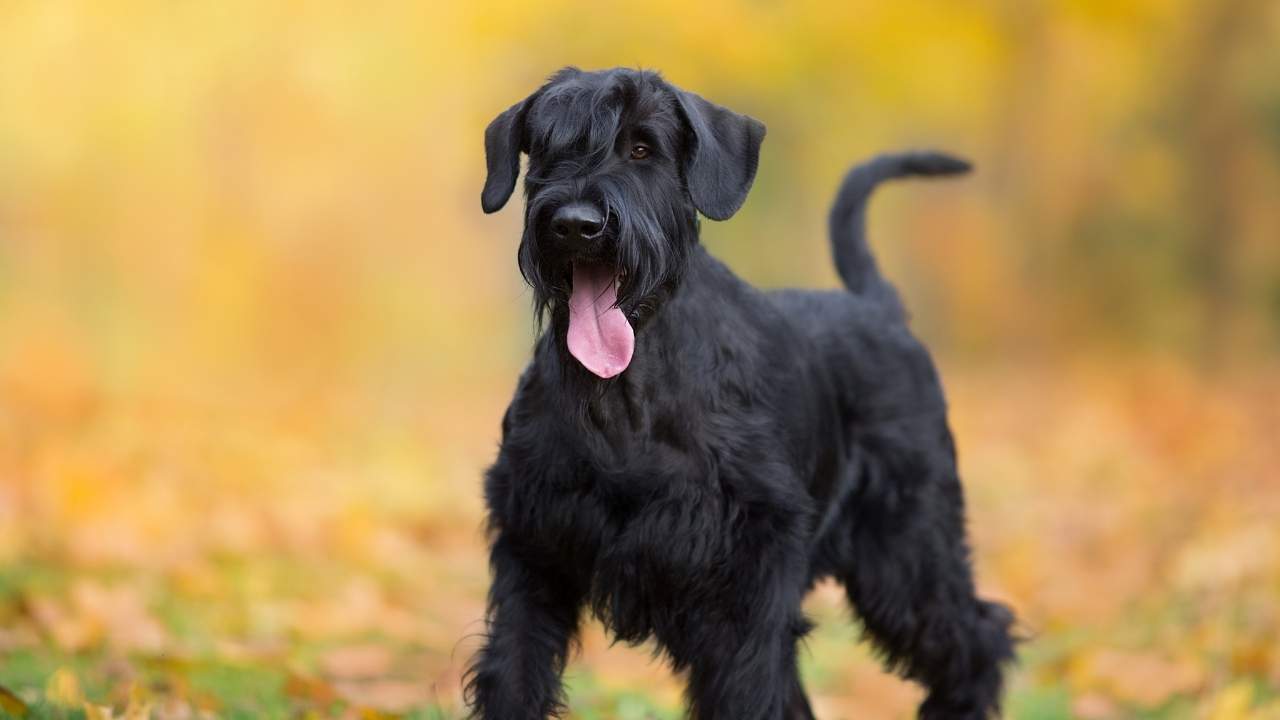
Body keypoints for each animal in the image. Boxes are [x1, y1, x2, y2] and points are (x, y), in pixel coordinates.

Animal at [465, 65, 1013, 712]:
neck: (625, 396)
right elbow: (514, 671)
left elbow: (750, 688)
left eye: (642, 148)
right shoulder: (533, 552)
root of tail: (880, 309)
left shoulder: (745, 576)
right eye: (546, 149)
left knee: (976, 638)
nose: (576, 224)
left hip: (908, 548)